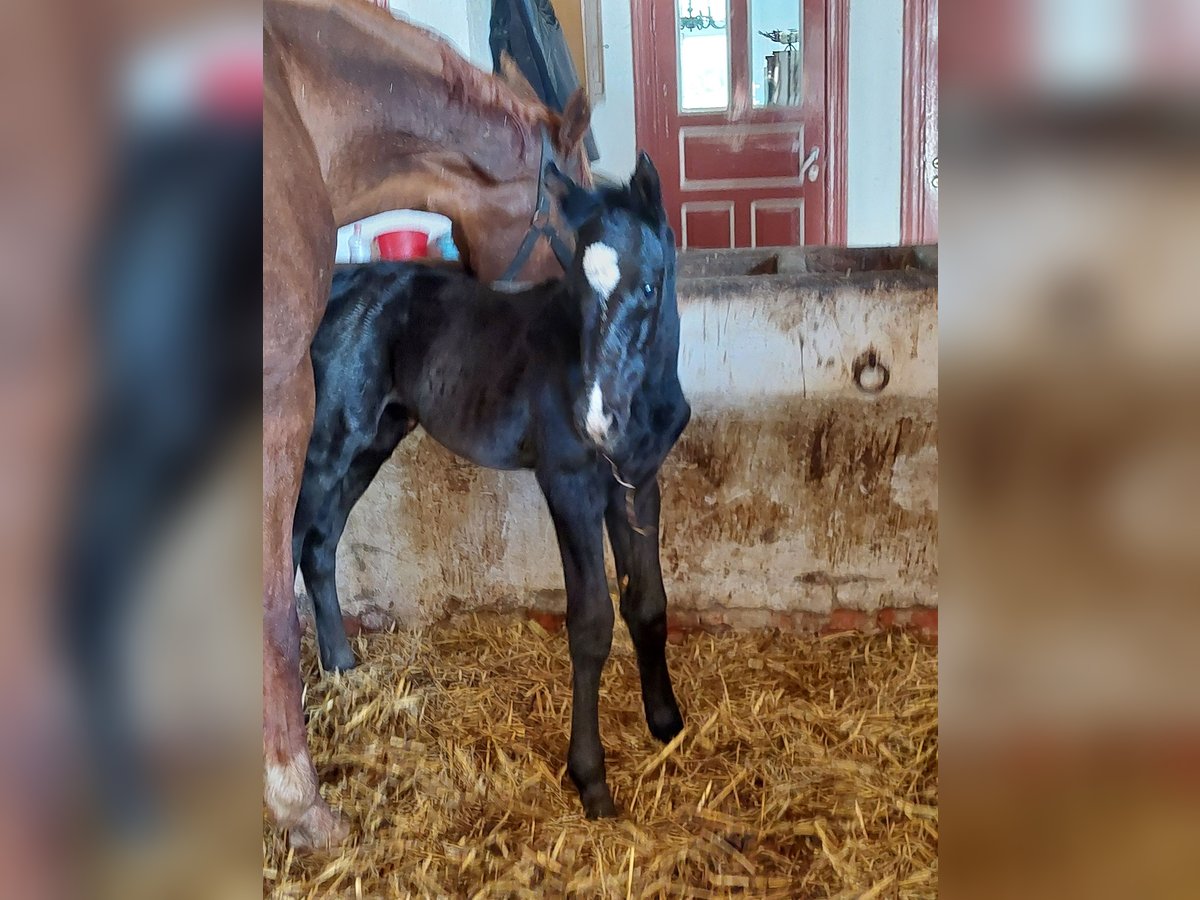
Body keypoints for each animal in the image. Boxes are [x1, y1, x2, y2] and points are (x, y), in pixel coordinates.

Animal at [292, 153, 696, 816]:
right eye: (575, 289)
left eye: (648, 286)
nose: (596, 420)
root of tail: (336, 287)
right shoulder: (570, 485)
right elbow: (591, 623)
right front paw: (591, 780)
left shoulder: (638, 482)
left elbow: (649, 604)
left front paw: (666, 723)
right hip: (327, 442)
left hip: (375, 439)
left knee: (320, 544)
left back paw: (343, 667)